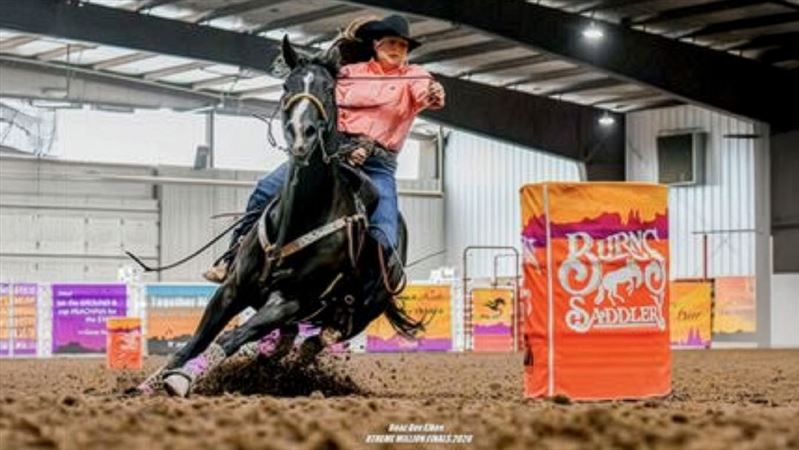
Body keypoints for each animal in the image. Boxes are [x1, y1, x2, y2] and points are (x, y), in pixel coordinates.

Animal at [136, 37, 423, 397]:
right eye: (287, 86)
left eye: (329, 88)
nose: (301, 133)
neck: (301, 217)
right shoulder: (233, 288)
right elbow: (197, 340)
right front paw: (148, 384)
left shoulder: (290, 301)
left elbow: (231, 336)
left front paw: (182, 379)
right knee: (287, 341)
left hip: (360, 311)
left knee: (316, 340)